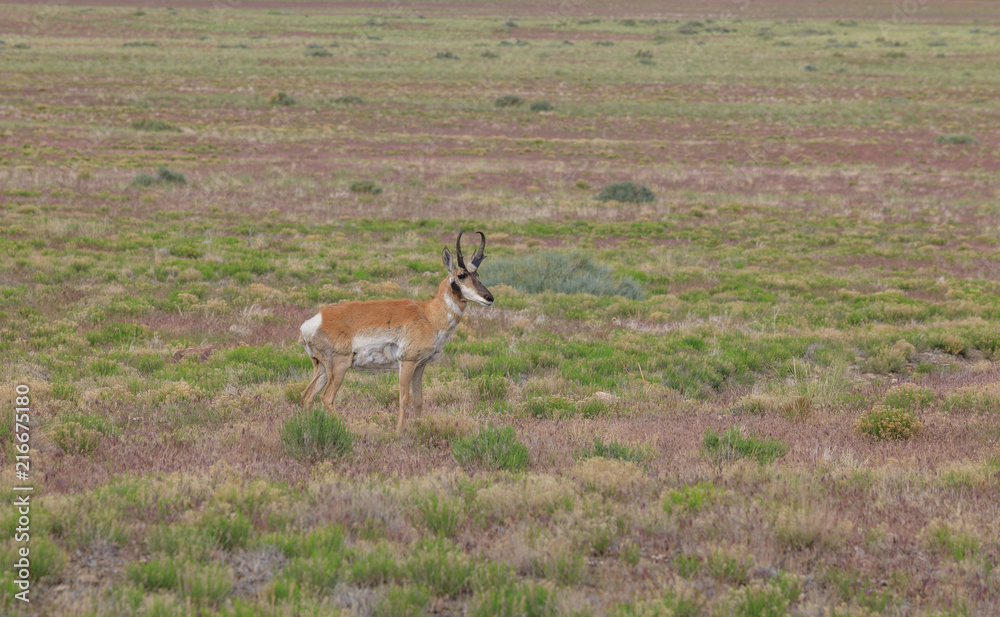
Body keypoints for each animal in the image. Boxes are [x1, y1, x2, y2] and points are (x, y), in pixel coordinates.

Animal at [298, 231, 494, 431]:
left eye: (477, 274)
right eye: (462, 275)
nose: (489, 298)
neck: (428, 315)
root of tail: (314, 321)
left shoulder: (420, 366)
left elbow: (418, 400)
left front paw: (418, 426)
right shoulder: (407, 362)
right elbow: (404, 398)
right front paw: (399, 431)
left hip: (322, 368)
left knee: (307, 395)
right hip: (339, 366)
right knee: (326, 397)